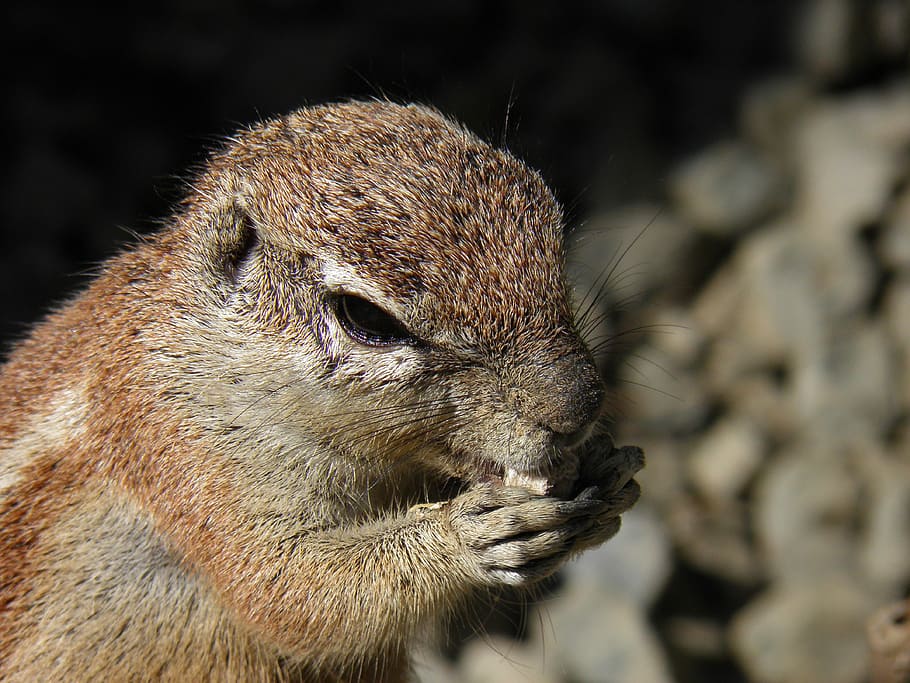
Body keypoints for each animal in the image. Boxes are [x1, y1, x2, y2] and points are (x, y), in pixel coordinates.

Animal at [0, 101, 643, 682]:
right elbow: (287, 591)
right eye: (367, 318)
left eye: (551, 223)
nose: (580, 406)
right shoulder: (182, 452)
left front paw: (608, 473)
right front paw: (463, 537)